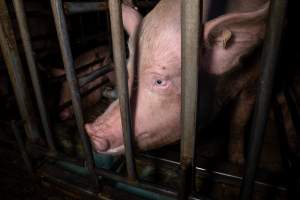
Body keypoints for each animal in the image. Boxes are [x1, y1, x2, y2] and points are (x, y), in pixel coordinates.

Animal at [85, 0, 270, 155]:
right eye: (128, 72)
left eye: (160, 81)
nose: (91, 131)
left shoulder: (253, 82)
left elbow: (238, 122)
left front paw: (237, 160)